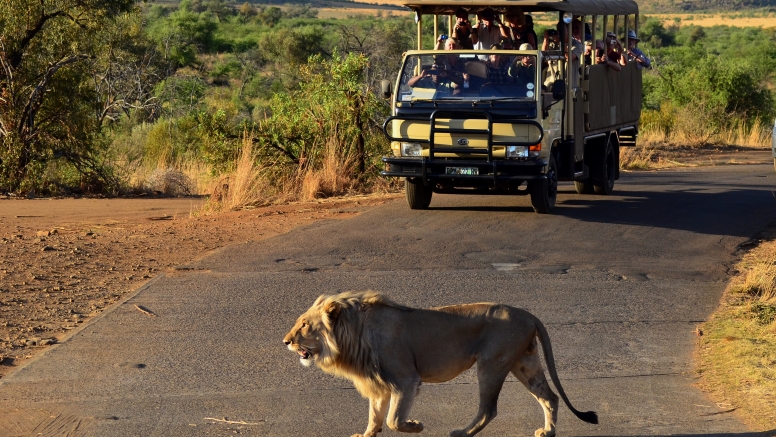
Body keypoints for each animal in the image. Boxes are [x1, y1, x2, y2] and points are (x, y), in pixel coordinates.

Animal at [282, 290, 596, 436]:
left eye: (304, 325)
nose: (285, 341)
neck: (353, 334)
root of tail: (530, 315)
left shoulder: (406, 380)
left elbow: (394, 419)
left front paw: (416, 425)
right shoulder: (377, 383)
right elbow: (375, 415)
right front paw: (367, 434)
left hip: (492, 364)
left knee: (489, 409)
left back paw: (462, 433)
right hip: (524, 363)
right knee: (550, 397)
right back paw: (548, 431)